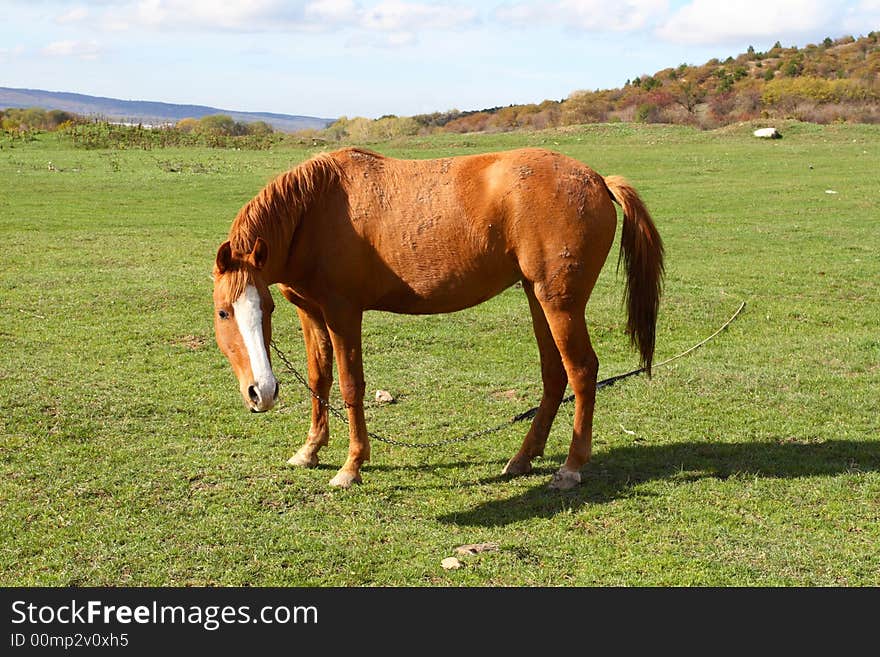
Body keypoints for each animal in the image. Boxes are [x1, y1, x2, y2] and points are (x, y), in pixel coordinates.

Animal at [211, 146, 660, 490]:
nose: (261, 392)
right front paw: (309, 450)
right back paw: (522, 458)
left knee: (582, 371)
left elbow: (351, 386)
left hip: (560, 304)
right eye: (224, 312)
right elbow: (319, 379)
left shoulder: (343, 313)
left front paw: (351, 466)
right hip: (538, 298)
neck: (316, 210)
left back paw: (570, 468)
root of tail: (597, 179)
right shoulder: (311, 312)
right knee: (555, 374)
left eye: (263, 308)